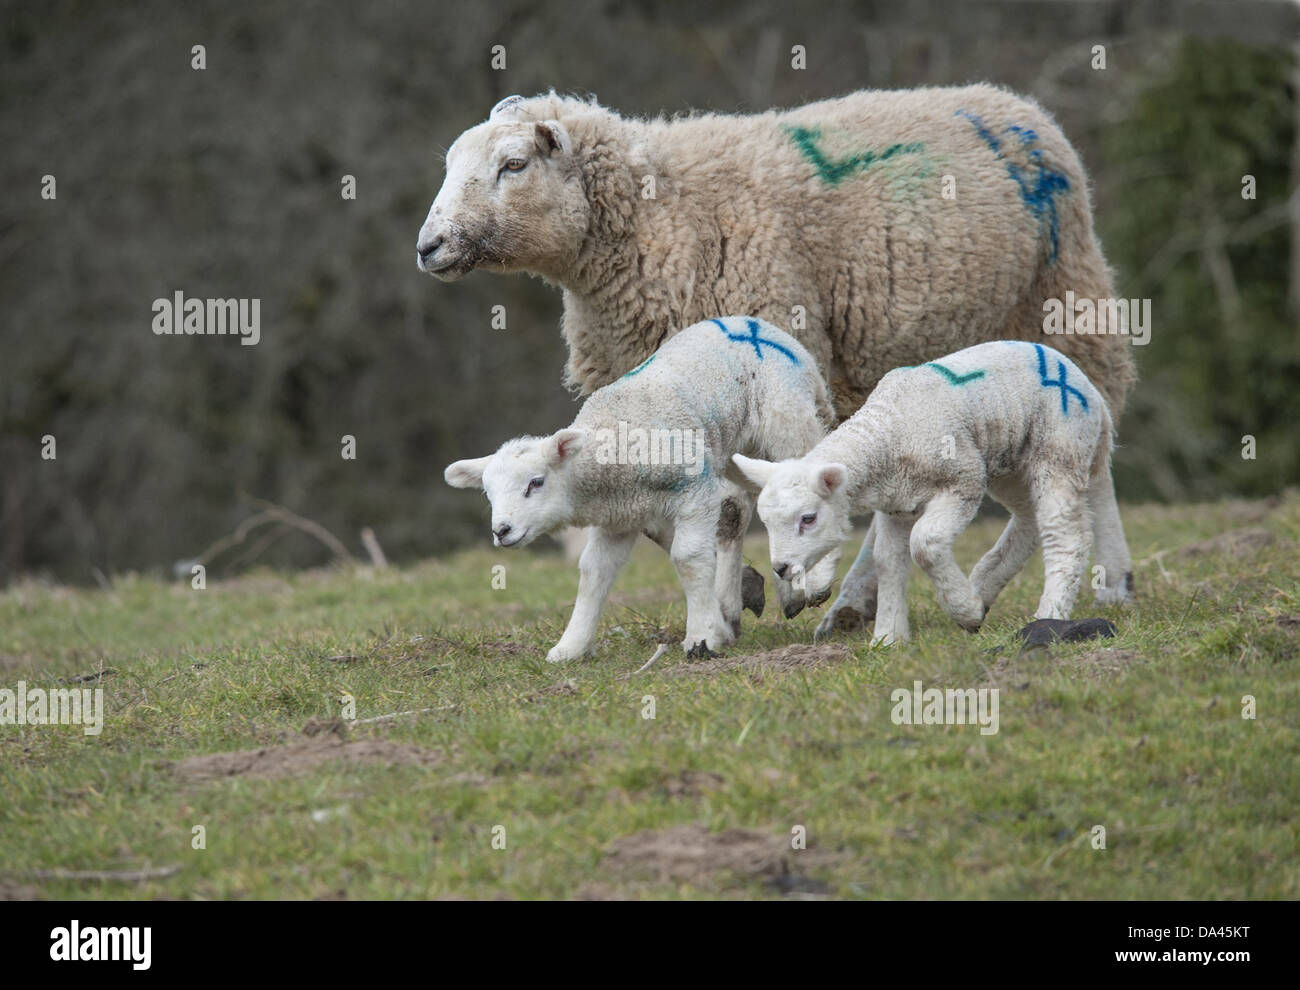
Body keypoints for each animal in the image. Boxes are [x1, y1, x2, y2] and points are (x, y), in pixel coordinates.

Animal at [447, 311, 832, 660]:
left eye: (536, 482)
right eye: (489, 494)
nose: (501, 531)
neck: (610, 447)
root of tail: (760, 326)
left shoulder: (695, 490)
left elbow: (688, 558)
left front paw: (702, 637)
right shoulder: (618, 519)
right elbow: (594, 571)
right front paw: (571, 647)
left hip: (787, 420)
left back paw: (815, 582)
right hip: (737, 454)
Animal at [738, 340, 1133, 647]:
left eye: (808, 518)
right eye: (767, 524)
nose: (781, 568)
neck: (887, 432)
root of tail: (1090, 391)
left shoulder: (963, 480)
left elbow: (925, 544)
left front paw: (965, 612)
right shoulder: (896, 503)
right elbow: (887, 561)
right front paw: (888, 638)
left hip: (1059, 447)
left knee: (1065, 533)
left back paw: (1047, 613)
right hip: (1010, 462)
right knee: (1027, 518)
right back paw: (983, 587)